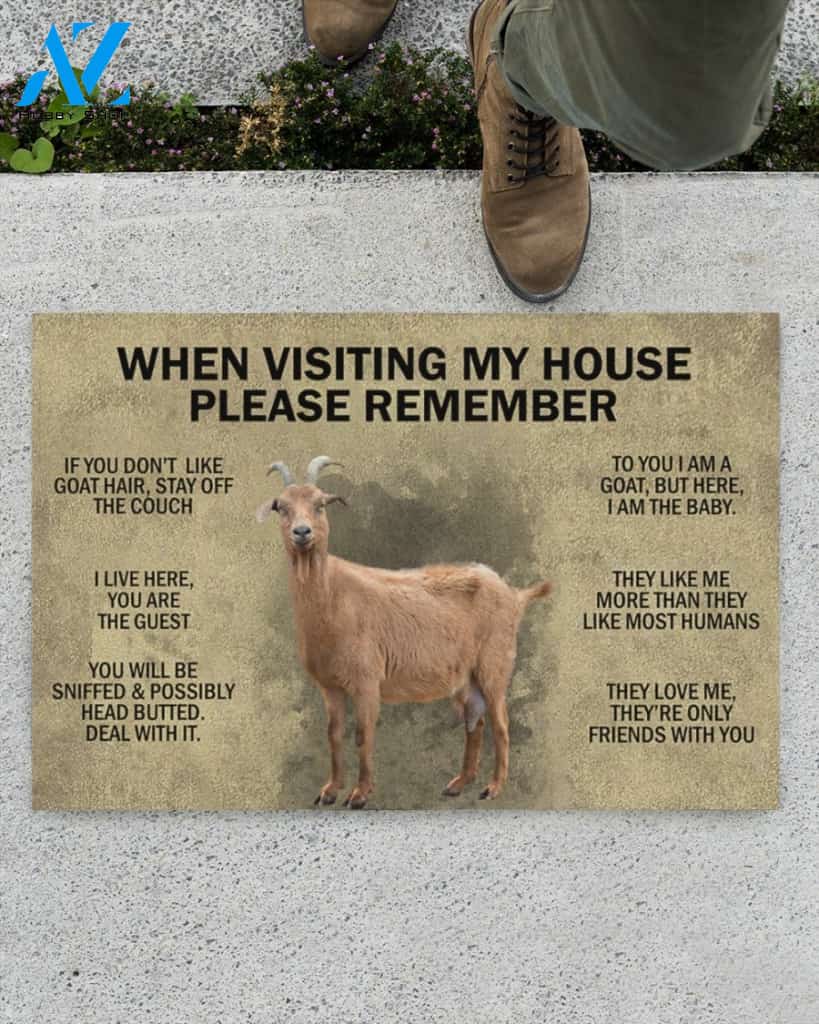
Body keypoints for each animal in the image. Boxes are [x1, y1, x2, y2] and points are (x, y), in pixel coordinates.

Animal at [256, 455, 551, 808]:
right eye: (281, 507)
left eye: (320, 504)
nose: (302, 532)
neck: (333, 597)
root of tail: (514, 594)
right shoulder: (330, 687)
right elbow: (334, 734)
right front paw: (329, 791)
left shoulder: (367, 681)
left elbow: (363, 734)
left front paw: (359, 794)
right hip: (465, 678)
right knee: (475, 721)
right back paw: (458, 784)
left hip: (495, 664)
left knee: (501, 724)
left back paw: (492, 788)